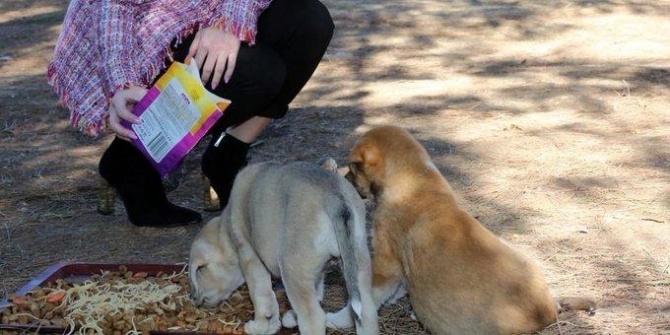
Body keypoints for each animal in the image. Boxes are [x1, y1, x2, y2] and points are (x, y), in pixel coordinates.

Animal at [344, 126, 596, 335]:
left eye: (353, 168)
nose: (345, 179)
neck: (413, 180)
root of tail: (550, 310)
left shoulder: (386, 262)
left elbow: (365, 296)